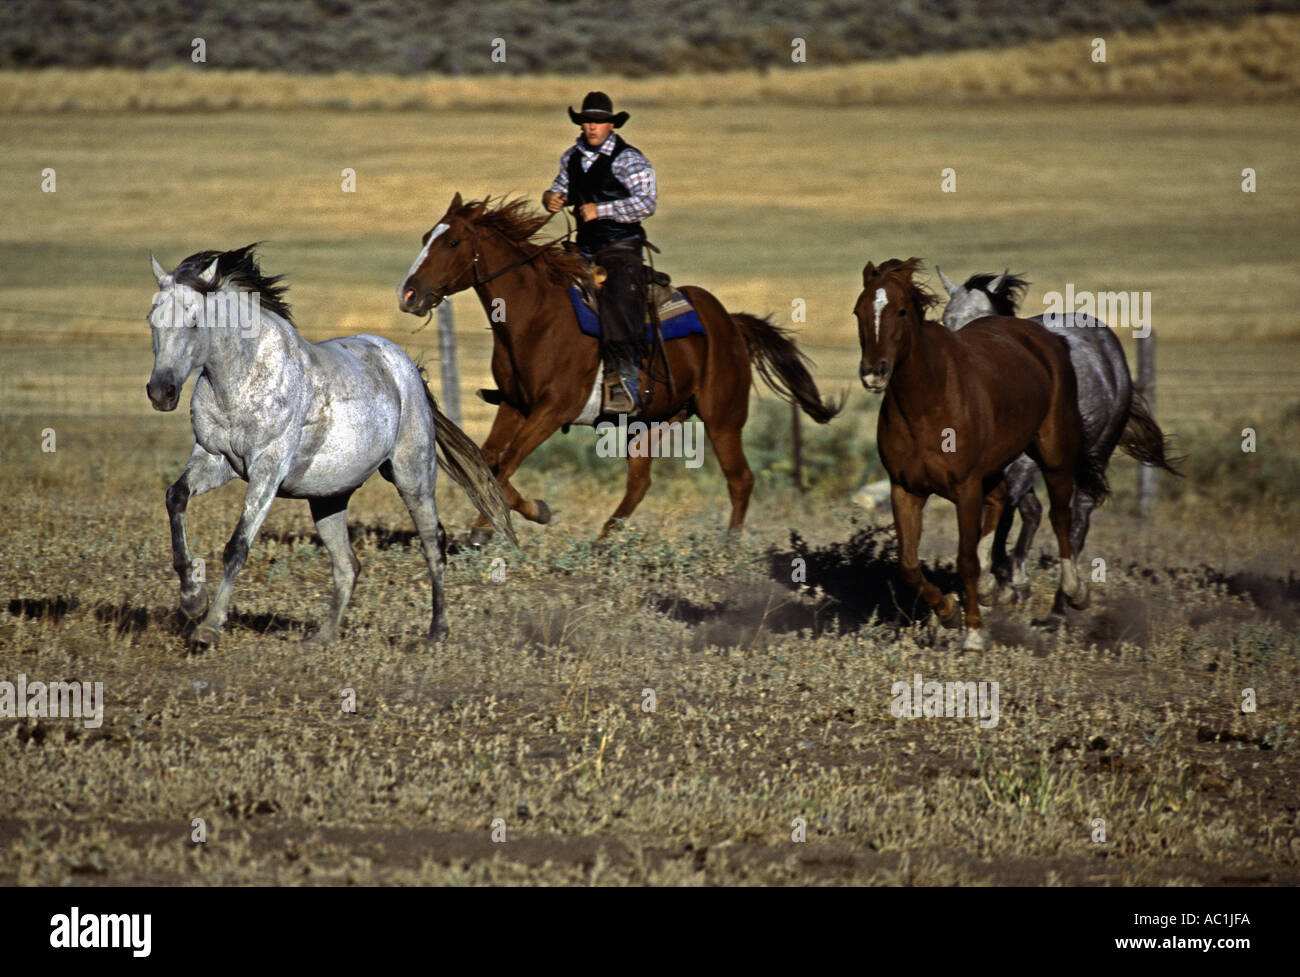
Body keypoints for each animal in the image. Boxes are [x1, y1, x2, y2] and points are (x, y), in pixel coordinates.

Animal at [145, 244, 515, 650]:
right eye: (152, 320)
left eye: (195, 322)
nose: (161, 392)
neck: (242, 380)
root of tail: (405, 368)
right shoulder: (214, 459)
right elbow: (175, 497)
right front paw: (192, 600)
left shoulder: (267, 471)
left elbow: (237, 546)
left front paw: (208, 627)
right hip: (328, 498)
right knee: (347, 564)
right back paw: (323, 637)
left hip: (413, 478)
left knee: (434, 545)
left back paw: (436, 633)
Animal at [396, 194, 841, 541]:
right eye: (424, 238)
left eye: (452, 241)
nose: (408, 294)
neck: (537, 318)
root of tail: (730, 322)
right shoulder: (514, 405)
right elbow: (490, 462)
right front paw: (486, 525)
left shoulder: (553, 410)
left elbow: (506, 462)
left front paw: (532, 512)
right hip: (648, 422)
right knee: (640, 481)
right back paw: (604, 541)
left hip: (723, 418)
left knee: (740, 479)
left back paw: (729, 545)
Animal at [854, 258, 1105, 652]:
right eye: (859, 311)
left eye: (901, 310)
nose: (873, 373)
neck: (928, 401)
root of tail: (1047, 338)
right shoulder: (905, 489)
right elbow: (909, 563)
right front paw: (947, 612)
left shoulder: (965, 486)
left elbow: (966, 559)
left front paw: (972, 633)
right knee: (1001, 500)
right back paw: (993, 589)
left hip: (1054, 454)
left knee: (1061, 517)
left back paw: (1074, 591)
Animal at [935, 267, 1182, 601]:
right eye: (945, 321)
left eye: (984, 320)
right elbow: (1021, 510)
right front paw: (1009, 580)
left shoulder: (1023, 463)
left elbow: (1008, 510)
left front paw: (997, 580)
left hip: (1096, 453)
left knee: (1078, 518)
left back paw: (1064, 600)